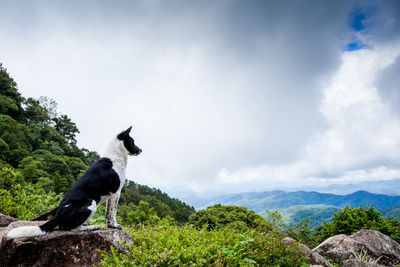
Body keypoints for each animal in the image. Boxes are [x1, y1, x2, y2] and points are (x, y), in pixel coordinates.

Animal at [6, 126, 142, 240]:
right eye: (133, 141)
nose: (141, 150)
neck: (115, 156)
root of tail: (57, 216)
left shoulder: (111, 195)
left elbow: (108, 214)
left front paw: (110, 226)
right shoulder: (116, 193)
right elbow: (113, 213)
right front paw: (114, 225)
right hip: (90, 203)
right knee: (71, 228)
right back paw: (90, 227)